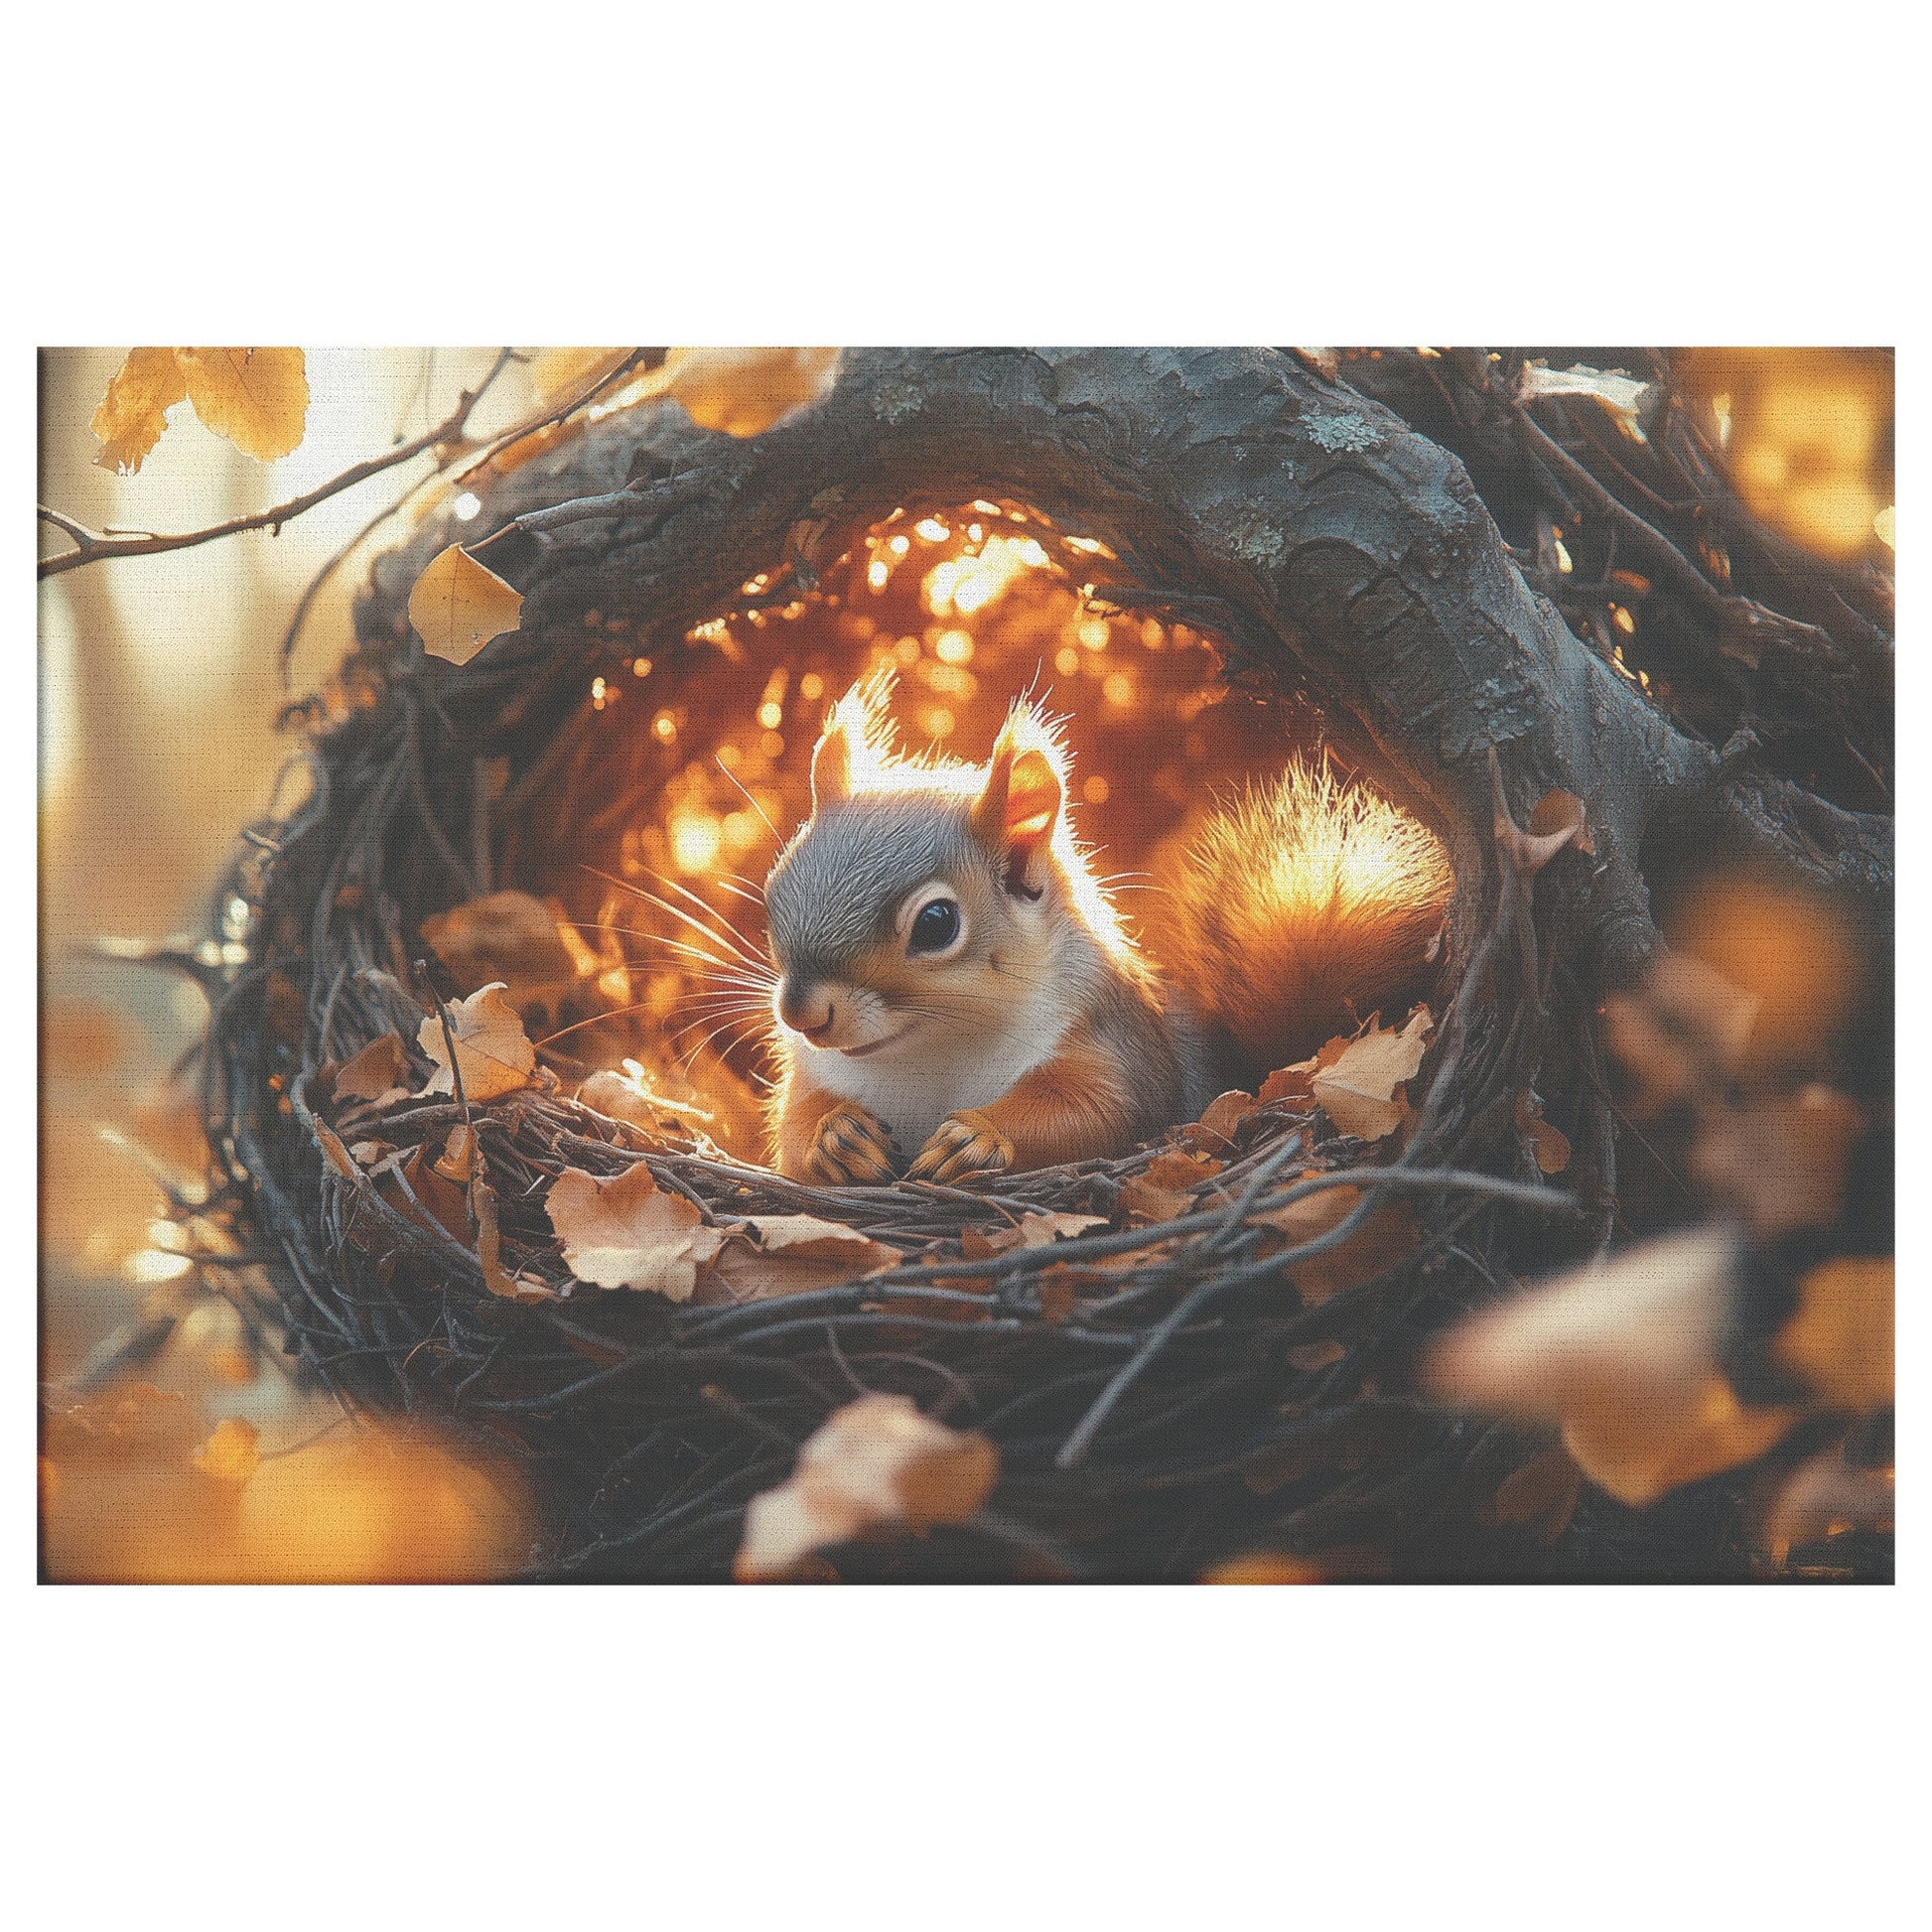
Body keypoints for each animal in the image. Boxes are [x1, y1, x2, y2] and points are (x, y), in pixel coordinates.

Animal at [760, 674, 1452, 1185]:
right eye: (775, 890)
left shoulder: (1110, 1043)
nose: (802, 1015)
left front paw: (981, 1134)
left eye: (936, 924)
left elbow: (1098, 1114)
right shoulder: (818, 1072)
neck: (930, 1051)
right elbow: (791, 1140)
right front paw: (834, 1135)